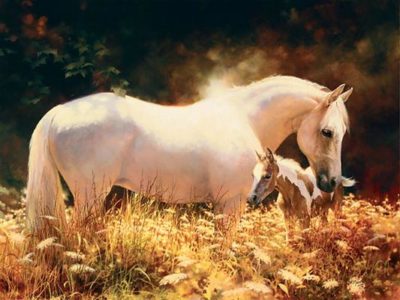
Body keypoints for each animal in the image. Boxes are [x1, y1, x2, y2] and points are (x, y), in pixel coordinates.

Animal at [25, 75, 352, 232]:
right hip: (90, 195)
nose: (330, 182)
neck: (244, 120)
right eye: (327, 132)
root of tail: (59, 112)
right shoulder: (231, 204)